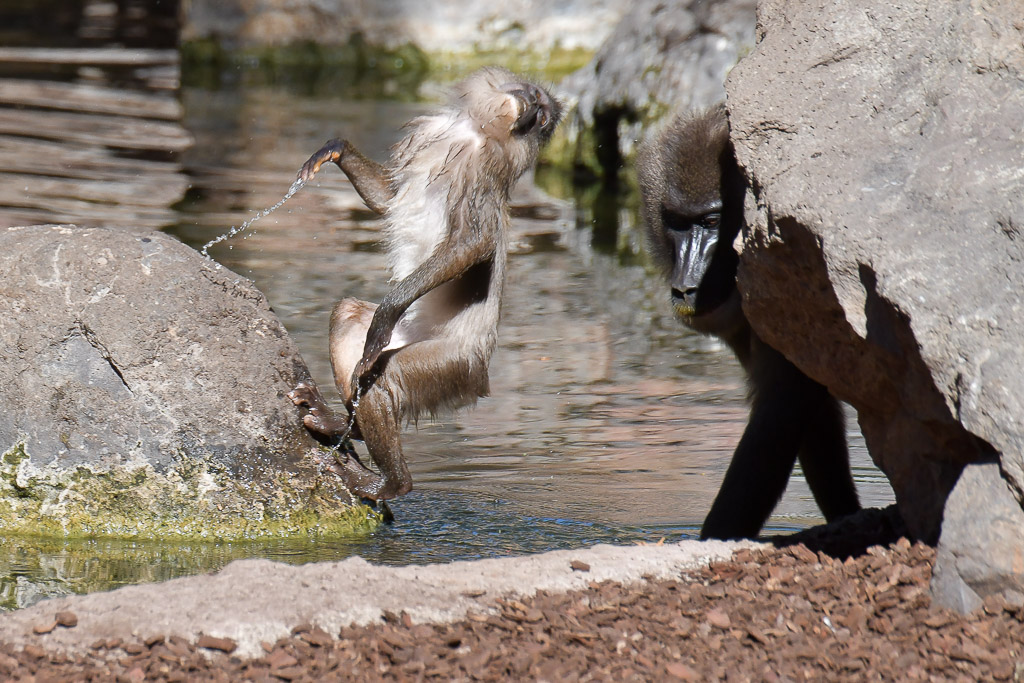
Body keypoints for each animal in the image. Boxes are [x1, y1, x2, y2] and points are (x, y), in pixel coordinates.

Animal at [286, 65, 561, 501]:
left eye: (542, 119)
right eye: (536, 102)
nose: (532, 113)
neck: (473, 130)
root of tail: (480, 376)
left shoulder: (480, 170)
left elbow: (473, 242)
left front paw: (388, 308)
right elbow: (387, 198)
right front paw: (336, 149)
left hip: (451, 366)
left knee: (383, 377)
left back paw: (389, 483)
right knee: (348, 320)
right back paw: (343, 424)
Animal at [634, 105, 860, 540]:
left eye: (711, 222)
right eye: (677, 222)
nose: (686, 287)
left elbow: (779, 409)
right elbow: (812, 407)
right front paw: (847, 515)